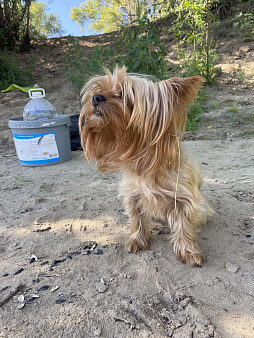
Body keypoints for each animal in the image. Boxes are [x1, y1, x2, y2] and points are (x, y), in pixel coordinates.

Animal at [79, 66, 212, 266]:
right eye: (99, 90)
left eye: (124, 94)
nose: (96, 97)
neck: (146, 161)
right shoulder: (133, 196)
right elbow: (137, 219)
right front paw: (137, 240)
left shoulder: (184, 199)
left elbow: (185, 225)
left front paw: (189, 251)